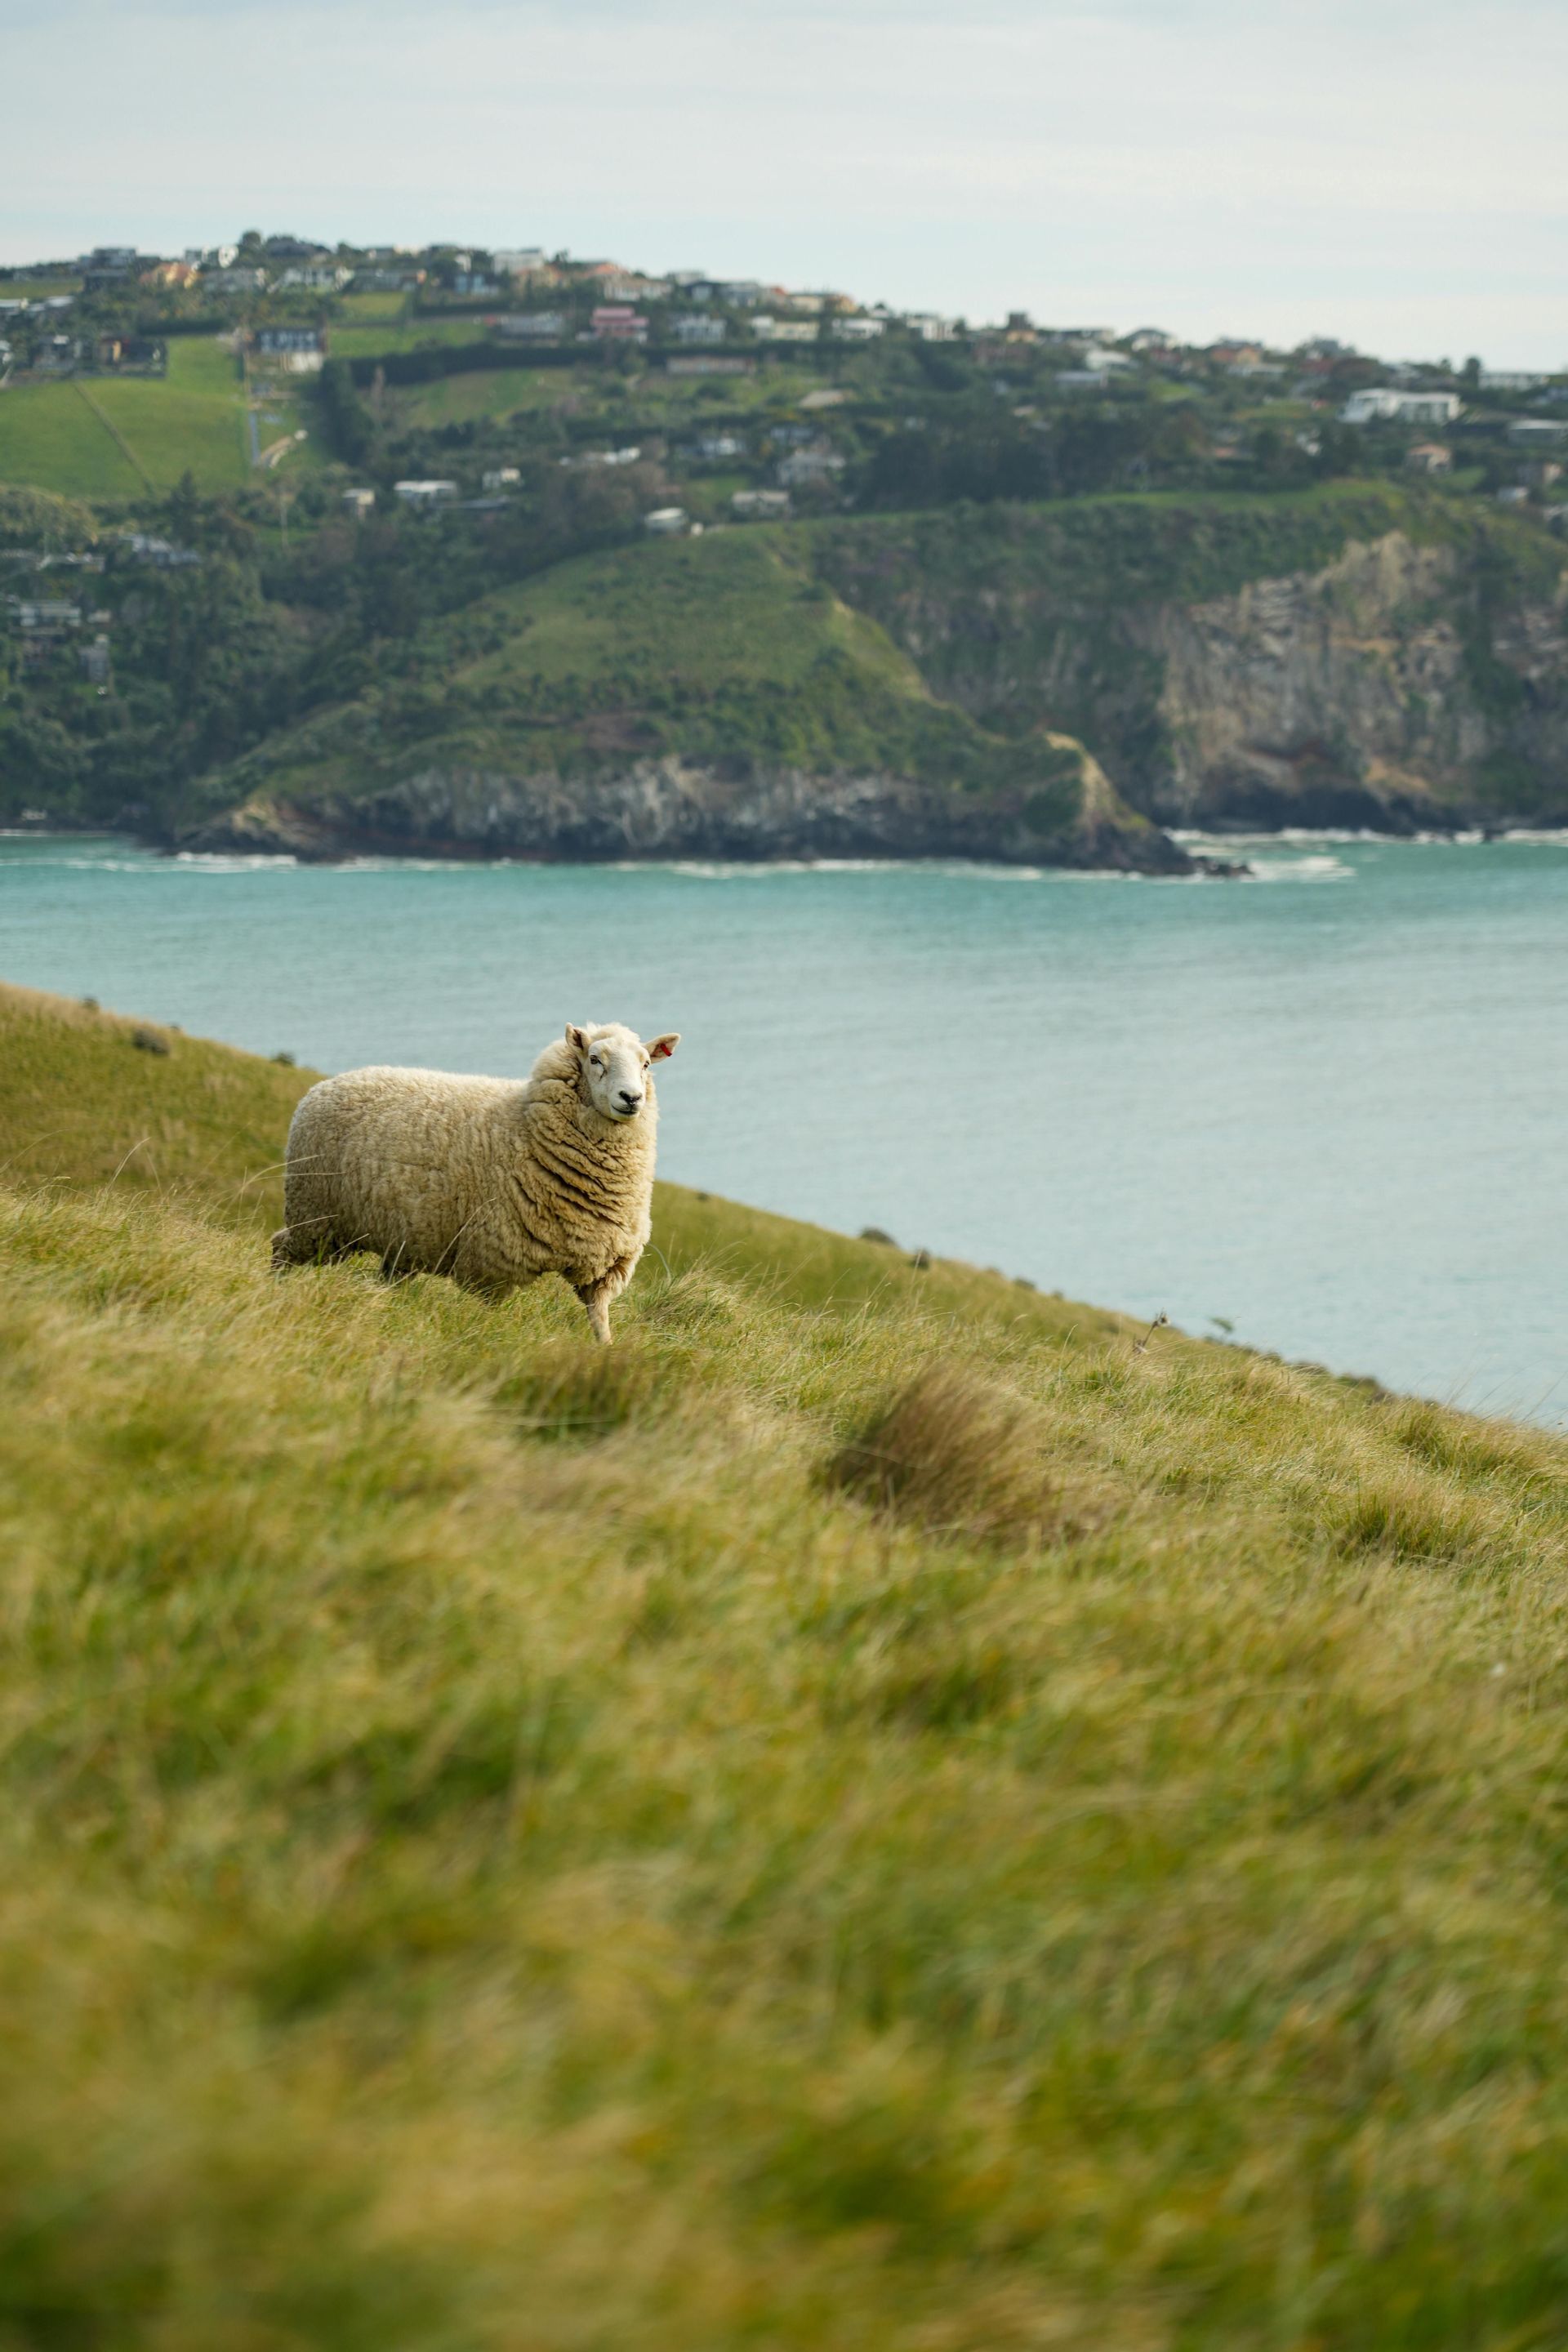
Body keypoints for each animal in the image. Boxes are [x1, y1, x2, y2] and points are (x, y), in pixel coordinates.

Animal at [271, 1021, 680, 1342]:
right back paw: (276, 1290)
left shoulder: (606, 1269)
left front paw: (606, 1354)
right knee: (281, 1248)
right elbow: (486, 1316)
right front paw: (484, 1343)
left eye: (646, 1064)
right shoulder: (494, 1260)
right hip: (317, 1215)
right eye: (595, 1059)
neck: (528, 1127)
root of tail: (323, 1086)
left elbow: (600, 1321)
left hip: (397, 1235)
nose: (631, 1098)